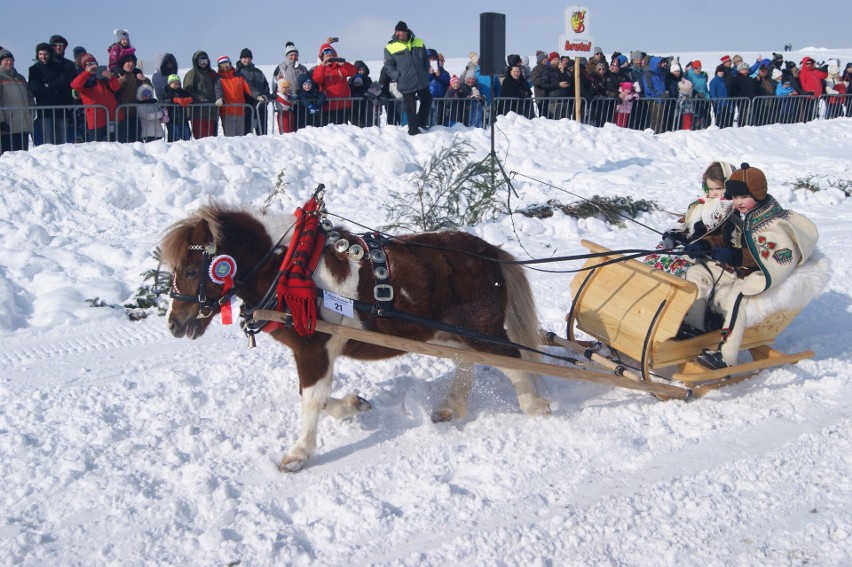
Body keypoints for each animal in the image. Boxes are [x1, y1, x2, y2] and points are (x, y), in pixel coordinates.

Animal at [162, 202, 548, 472]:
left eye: (193, 270)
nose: (174, 325)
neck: (288, 268)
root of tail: (489, 252)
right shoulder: (317, 353)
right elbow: (315, 395)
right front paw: (353, 405)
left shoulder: (314, 348)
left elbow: (311, 398)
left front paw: (299, 453)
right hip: (449, 333)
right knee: (468, 361)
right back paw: (452, 406)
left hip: (481, 330)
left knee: (512, 362)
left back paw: (535, 405)